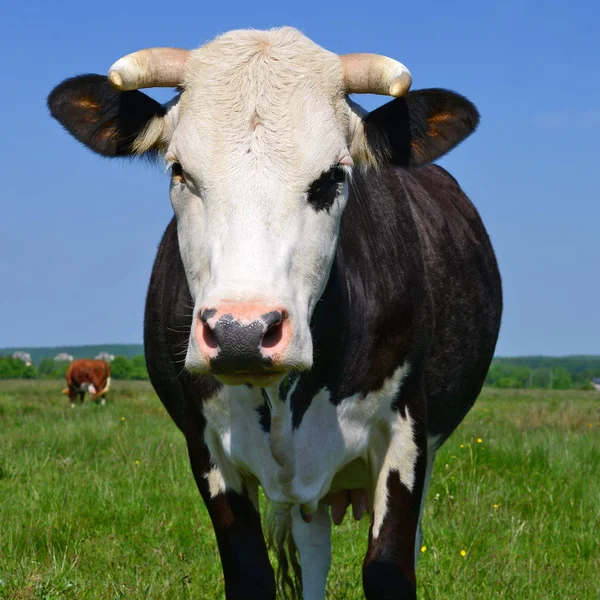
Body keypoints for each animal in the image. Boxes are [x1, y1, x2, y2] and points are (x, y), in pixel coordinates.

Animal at [49, 27, 504, 600]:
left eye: (333, 177)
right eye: (179, 170)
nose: (241, 333)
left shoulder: (408, 435)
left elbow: (388, 568)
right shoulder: (205, 447)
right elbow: (251, 574)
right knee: (314, 552)